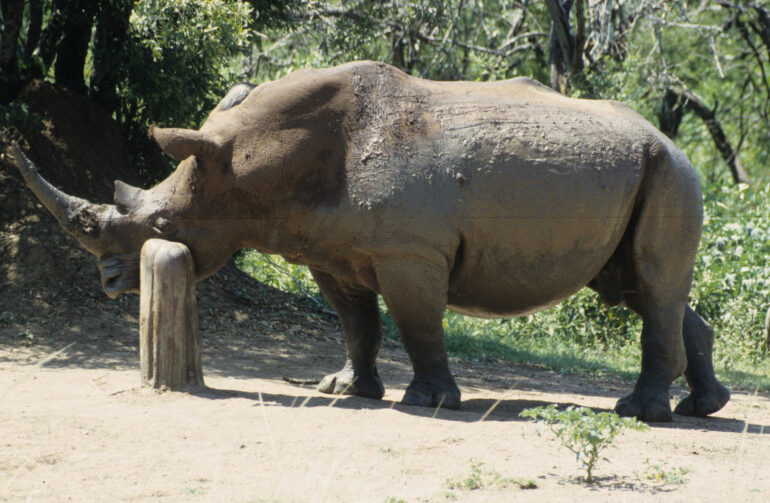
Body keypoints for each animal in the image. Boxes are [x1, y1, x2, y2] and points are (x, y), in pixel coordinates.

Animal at [8, 61, 730, 421]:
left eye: (160, 229)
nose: (109, 283)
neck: (249, 161)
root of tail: (670, 140)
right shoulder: (331, 251)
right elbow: (356, 322)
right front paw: (344, 390)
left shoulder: (410, 251)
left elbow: (417, 323)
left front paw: (429, 402)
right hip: (640, 172)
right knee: (635, 285)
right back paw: (704, 406)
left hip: (668, 172)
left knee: (652, 285)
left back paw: (640, 412)